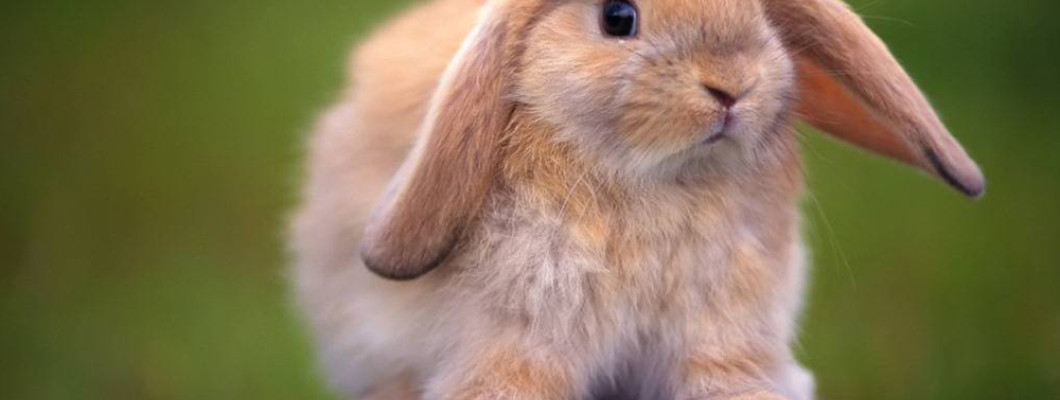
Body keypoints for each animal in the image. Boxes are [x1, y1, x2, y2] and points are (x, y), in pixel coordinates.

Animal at [290, 0, 985, 399]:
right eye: (618, 17)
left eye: (760, 14)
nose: (733, 86)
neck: (657, 180)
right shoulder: (520, 344)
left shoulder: (722, 340)